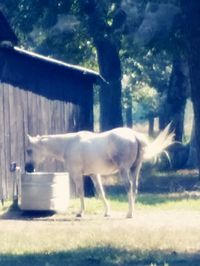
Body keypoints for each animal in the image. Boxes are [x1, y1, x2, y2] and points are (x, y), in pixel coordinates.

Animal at [26, 125, 173, 217]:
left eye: (29, 150)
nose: (28, 168)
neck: (68, 145)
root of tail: (134, 136)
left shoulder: (77, 175)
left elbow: (81, 192)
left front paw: (80, 213)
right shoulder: (94, 174)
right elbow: (101, 192)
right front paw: (107, 212)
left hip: (124, 170)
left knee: (129, 187)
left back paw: (129, 214)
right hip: (134, 169)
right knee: (134, 188)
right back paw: (133, 211)